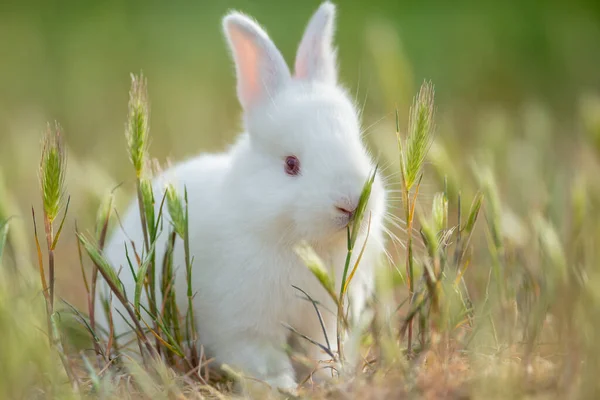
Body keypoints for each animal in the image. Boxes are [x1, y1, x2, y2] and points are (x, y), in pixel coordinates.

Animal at [97, 0, 390, 390]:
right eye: (291, 164)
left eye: (359, 145)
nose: (351, 203)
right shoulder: (246, 328)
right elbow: (263, 362)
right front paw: (282, 389)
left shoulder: (323, 321)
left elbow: (322, 352)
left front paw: (332, 379)